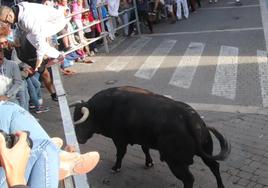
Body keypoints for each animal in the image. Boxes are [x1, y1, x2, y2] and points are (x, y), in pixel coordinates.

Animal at [72, 86, 231, 188]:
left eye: (81, 123)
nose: (77, 139)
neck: (106, 108)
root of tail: (190, 118)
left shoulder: (119, 139)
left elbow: (120, 154)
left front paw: (116, 167)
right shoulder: (144, 138)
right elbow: (145, 149)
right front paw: (149, 162)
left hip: (176, 163)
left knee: (189, 179)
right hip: (206, 152)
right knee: (214, 166)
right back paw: (221, 186)